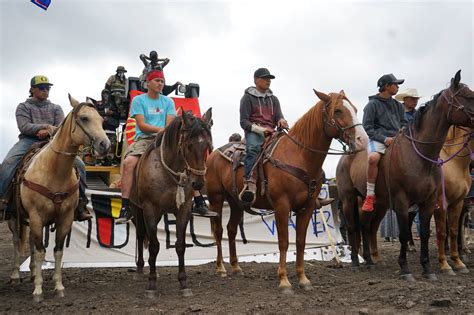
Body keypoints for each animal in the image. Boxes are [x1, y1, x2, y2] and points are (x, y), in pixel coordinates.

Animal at [7, 95, 111, 302]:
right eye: (84, 118)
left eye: (102, 120)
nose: (105, 145)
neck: (54, 170)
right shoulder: (37, 217)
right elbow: (41, 252)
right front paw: (38, 291)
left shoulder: (65, 218)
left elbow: (57, 251)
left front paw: (58, 287)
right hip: (15, 217)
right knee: (16, 241)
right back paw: (15, 276)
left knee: (30, 242)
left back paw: (32, 274)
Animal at [133, 110, 215, 298]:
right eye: (188, 145)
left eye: (207, 146)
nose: (198, 183)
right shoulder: (149, 209)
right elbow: (154, 246)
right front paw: (151, 284)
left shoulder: (183, 209)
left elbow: (180, 245)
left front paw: (183, 283)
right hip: (138, 210)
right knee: (140, 236)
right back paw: (140, 268)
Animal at [205, 89, 366, 294]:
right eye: (338, 111)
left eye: (355, 109)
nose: (362, 140)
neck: (299, 156)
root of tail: (213, 155)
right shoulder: (282, 206)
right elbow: (283, 241)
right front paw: (284, 281)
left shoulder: (307, 207)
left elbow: (300, 242)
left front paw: (303, 279)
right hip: (216, 199)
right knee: (218, 231)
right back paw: (221, 269)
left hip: (236, 202)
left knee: (231, 230)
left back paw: (236, 267)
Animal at [352, 71, 474, 282]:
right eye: (468, 96)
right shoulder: (406, 201)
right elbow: (407, 234)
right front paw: (406, 269)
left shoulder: (432, 201)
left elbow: (429, 232)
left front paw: (429, 268)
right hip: (351, 199)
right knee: (357, 227)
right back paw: (357, 261)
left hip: (380, 204)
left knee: (368, 227)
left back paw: (372, 259)